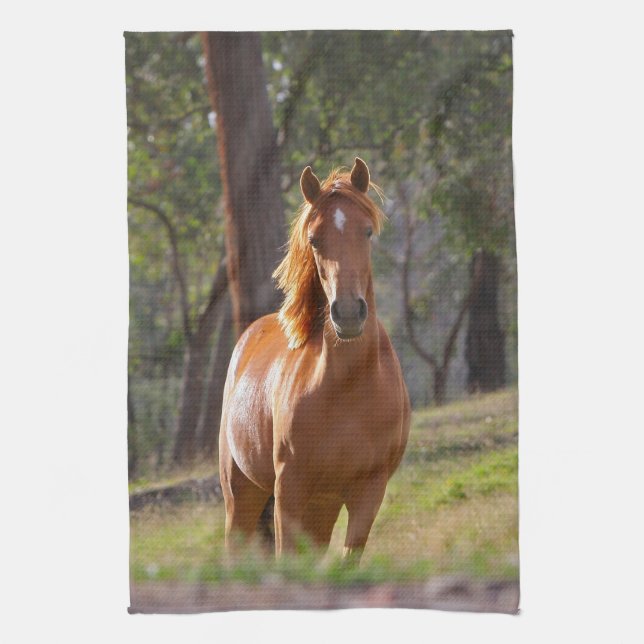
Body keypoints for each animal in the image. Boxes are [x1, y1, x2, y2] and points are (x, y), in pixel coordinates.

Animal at [219, 158, 410, 564]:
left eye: (367, 232)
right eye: (314, 239)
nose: (349, 313)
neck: (347, 387)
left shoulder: (368, 491)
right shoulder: (289, 490)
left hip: (321, 508)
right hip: (242, 496)